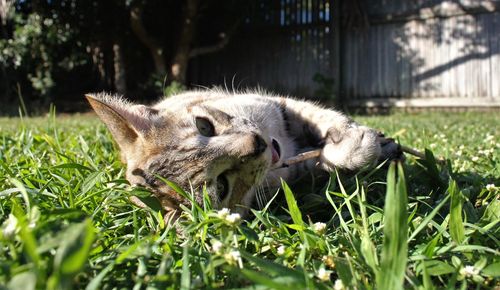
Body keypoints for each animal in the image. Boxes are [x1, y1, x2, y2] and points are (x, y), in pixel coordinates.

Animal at [86, 89, 402, 216]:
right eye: (222, 186)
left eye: (204, 125)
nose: (258, 143)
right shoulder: (290, 169)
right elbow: (316, 162)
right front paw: (358, 150)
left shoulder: (274, 103)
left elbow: (320, 116)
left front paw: (355, 141)